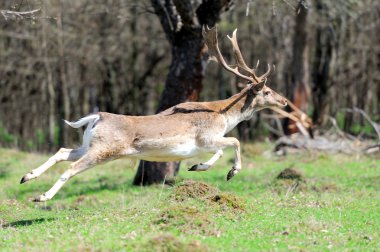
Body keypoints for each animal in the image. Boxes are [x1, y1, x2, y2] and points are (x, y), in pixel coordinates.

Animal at [20, 26, 286, 202]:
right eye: (267, 91)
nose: (283, 100)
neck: (223, 116)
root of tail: (96, 117)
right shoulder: (206, 137)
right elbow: (235, 141)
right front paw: (232, 172)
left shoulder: (206, 142)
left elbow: (221, 150)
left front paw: (197, 166)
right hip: (104, 150)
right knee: (71, 168)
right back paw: (42, 197)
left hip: (90, 145)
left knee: (63, 152)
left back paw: (27, 176)